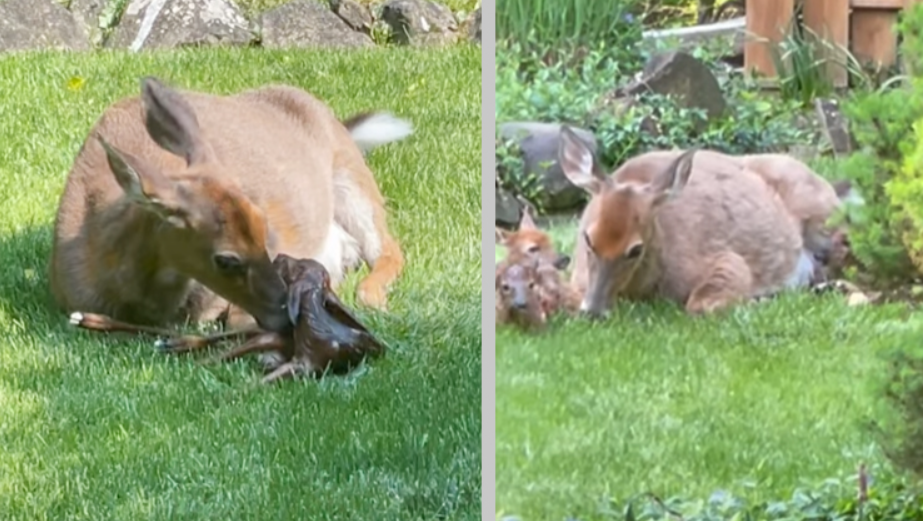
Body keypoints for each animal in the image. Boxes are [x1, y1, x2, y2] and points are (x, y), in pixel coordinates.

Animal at [51, 75, 412, 364]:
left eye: (264, 230)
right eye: (226, 259)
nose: (287, 316)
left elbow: (237, 321)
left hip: (351, 175)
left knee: (386, 247)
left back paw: (369, 295)